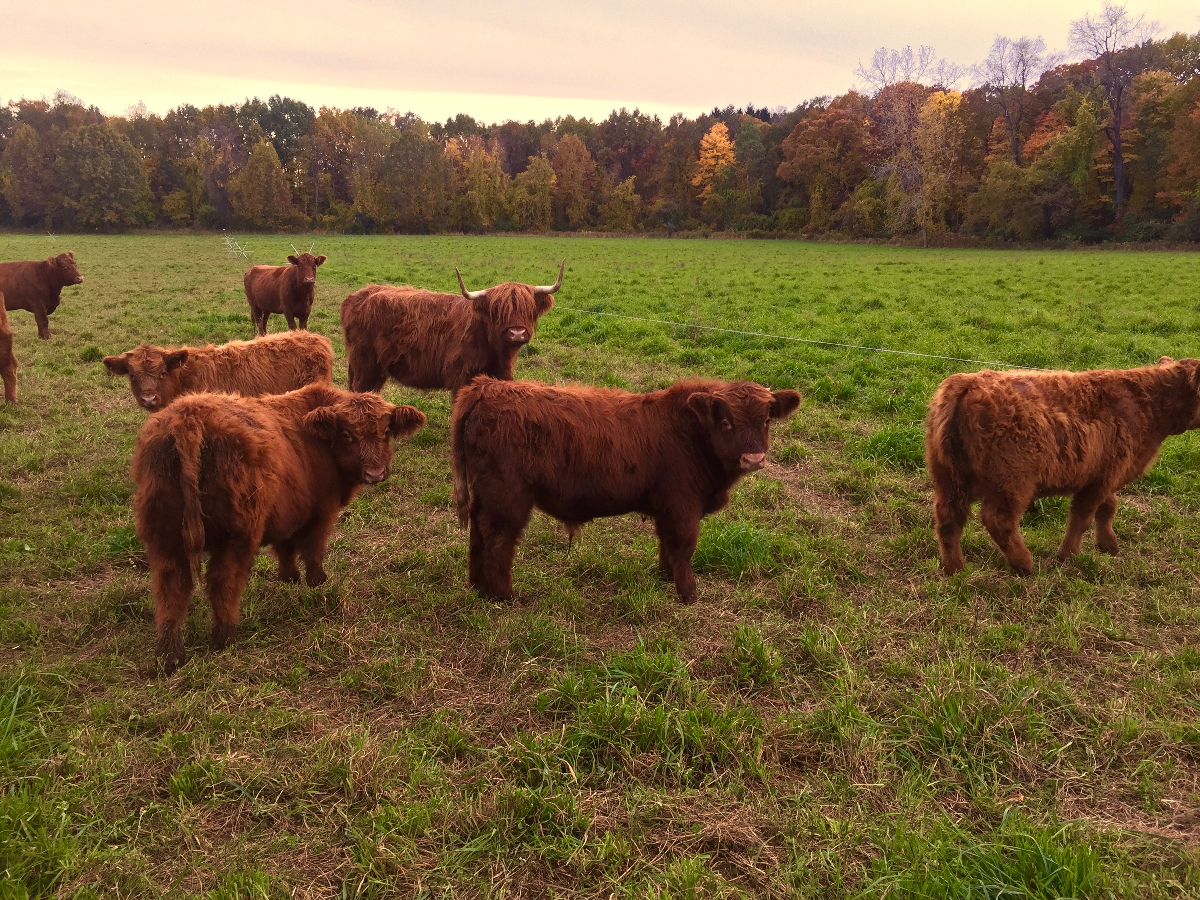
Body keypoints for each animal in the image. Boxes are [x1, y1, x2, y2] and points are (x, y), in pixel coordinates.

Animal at [133, 383, 427, 673]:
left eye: (386, 432)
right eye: (346, 434)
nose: (375, 474)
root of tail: (188, 415)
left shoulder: (285, 513)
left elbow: (284, 547)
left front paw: (289, 578)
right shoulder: (322, 511)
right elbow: (313, 550)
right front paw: (317, 582)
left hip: (164, 536)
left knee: (171, 586)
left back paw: (169, 655)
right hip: (237, 535)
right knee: (222, 580)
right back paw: (225, 636)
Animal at [340, 260, 564, 395]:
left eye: (529, 309)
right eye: (496, 310)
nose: (517, 333)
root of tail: (357, 295)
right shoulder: (461, 378)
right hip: (364, 365)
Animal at [451, 377, 802, 604]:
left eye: (767, 420)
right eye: (726, 422)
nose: (754, 458)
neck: (689, 432)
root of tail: (487, 387)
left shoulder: (667, 509)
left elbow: (667, 544)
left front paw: (666, 575)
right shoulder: (683, 506)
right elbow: (684, 546)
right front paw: (688, 593)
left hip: (486, 496)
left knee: (478, 535)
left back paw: (476, 586)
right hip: (507, 499)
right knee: (499, 541)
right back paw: (503, 596)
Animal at [925, 358, 1200, 576]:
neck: (1146, 405)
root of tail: (967, 381)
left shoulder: (1104, 477)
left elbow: (1108, 508)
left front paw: (1108, 545)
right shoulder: (1101, 480)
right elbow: (1082, 518)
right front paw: (1068, 555)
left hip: (948, 479)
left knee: (948, 518)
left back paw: (955, 569)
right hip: (1012, 484)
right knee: (998, 521)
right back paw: (1024, 565)